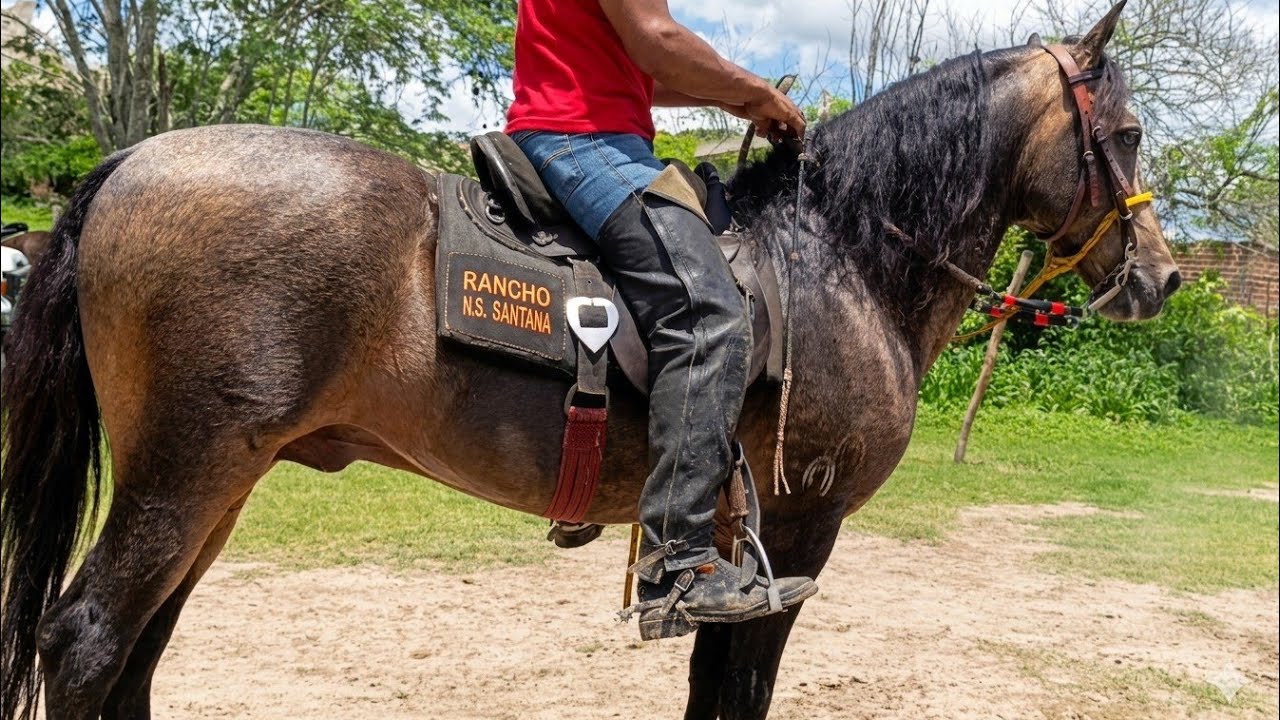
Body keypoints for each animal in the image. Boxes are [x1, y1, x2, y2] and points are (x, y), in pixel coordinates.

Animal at [1, 4, 1180, 718]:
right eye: (1124, 134)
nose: (1162, 278)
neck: (839, 252)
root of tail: (127, 162)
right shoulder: (800, 530)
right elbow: (739, 689)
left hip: (219, 481)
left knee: (139, 650)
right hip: (186, 473)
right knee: (88, 640)